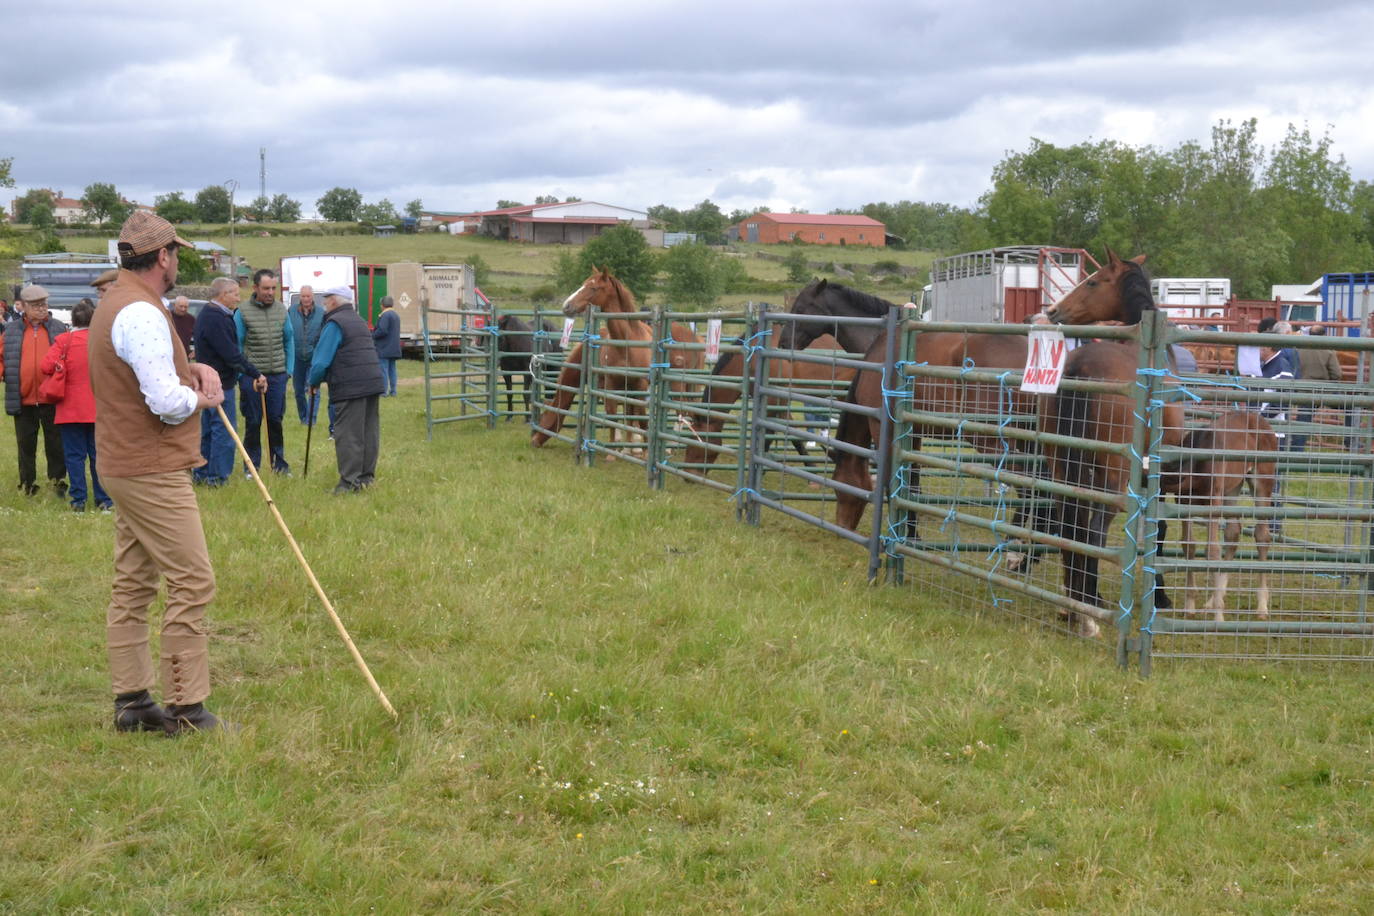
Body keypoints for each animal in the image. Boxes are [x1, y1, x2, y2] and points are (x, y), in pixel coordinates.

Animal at [524, 266, 697, 453]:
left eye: (593, 288)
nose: (566, 306)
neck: (627, 342)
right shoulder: (611, 384)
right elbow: (614, 414)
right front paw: (623, 447)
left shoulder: (639, 385)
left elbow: (637, 418)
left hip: (675, 384)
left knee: (681, 412)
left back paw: (667, 448)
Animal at [1033, 251, 1187, 637]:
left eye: (1092, 281)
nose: (1053, 311)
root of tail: (1080, 369)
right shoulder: (1158, 474)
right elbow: (1158, 529)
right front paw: (1160, 596)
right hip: (1112, 479)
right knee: (1094, 531)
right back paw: (1089, 614)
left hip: (1063, 469)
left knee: (1070, 527)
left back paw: (1072, 607)